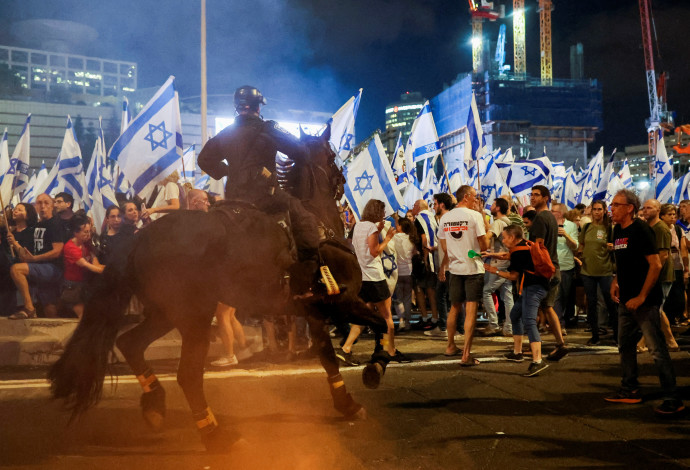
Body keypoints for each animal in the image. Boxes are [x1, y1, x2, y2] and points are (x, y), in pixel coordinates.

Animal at [49, 123, 388, 450]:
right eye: (330, 157)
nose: (342, 180)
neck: (318, 219)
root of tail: (140, 237)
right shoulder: (344, 301)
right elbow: (381, 322)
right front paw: (376, 367)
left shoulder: (314, 310)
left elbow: (328, 357)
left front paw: (347, 403)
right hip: (195, 317)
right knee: (187, 375)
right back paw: (215, 435)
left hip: (165, 314)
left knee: (130, 343)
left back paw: (155, 403)